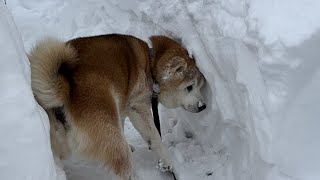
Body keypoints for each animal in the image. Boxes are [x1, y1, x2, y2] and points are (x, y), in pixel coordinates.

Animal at [28, 34, 206, 179]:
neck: (150, 63)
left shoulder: (121, 106)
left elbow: (122, 122)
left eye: (199, 86)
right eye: (190, 87)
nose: (203, 106)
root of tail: (65, 88)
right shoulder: (137, 107)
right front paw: (165, 161)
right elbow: (154, 136)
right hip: (110, 135)